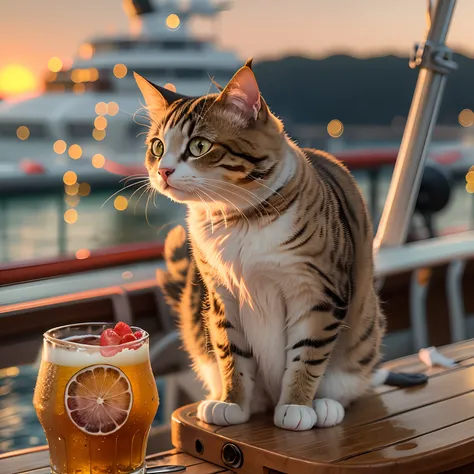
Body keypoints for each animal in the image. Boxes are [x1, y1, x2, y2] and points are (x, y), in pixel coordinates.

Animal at [134, 61, 426, 432]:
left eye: (199, 146)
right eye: (157, 147)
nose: (164, 171)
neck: (238, 219)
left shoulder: (316, 291)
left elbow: (307, 355)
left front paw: (297, 405)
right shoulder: (223, 295)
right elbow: (233, 356)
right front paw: (233, 402)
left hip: (365, 329)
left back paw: (326, 405)